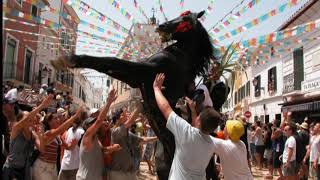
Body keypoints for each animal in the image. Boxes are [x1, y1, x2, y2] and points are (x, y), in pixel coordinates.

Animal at [52, 10, 219, 179]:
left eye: (185, 18)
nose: (162, 26)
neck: (180, 58)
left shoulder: (144, 72)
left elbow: (112, 61)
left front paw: (67, 59)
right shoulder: (136, 79)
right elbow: (110, 65)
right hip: (164, 168)